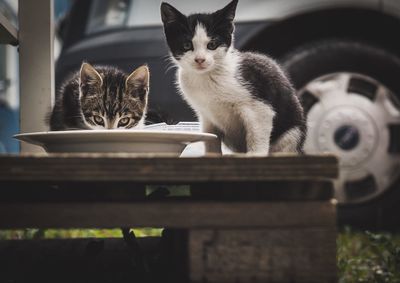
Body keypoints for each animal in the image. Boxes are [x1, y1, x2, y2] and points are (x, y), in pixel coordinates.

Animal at [159, 0, 306, 154]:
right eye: (187, 45)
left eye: (212, 44)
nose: (200, 60)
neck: (206, 77)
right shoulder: (206, 116)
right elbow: (210, 138)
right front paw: (212, 155)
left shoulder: (260, 107)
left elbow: (257, 135)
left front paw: (254, 154)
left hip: (292, 131)